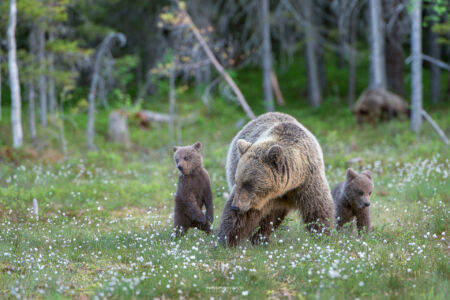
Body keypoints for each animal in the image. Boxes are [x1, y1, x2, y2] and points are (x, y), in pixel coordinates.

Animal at [218, 112, 334, 246]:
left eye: (249, 183)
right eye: (238, 181)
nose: (235, 206)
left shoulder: (308, 182)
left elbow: (318, 208)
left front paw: (323, 236)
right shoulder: (258, 199)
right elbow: (241, 217)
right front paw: (225, 240)